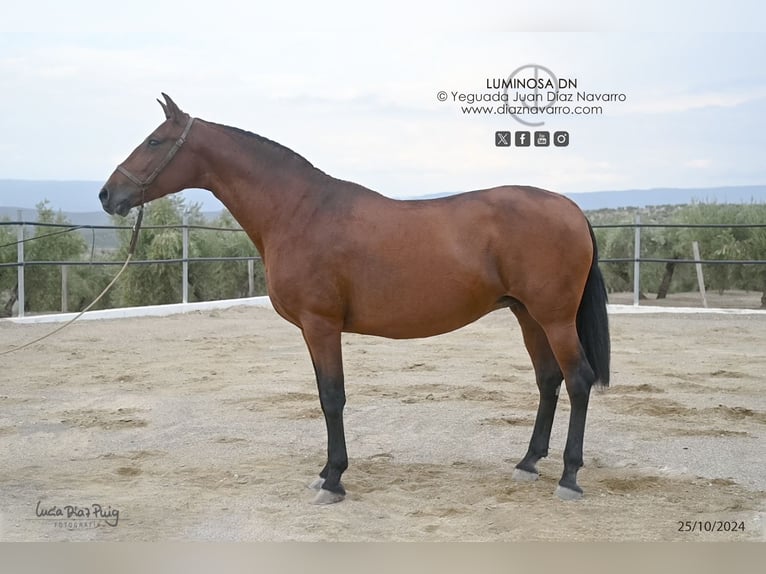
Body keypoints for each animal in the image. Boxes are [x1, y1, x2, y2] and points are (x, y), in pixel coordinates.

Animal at [99, 93, 610, 504]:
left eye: (155, 142)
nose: (108, 194)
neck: (298, 211)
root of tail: (569, 207)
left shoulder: (321, 324)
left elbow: (332, 397)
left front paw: (334, 481)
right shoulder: (311, 331)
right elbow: (324, 395)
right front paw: (326, 472)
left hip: (555, 318)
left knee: (578, 380)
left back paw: (568, 477)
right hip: (528, 316)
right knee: (548, 380)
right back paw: (528, 463)